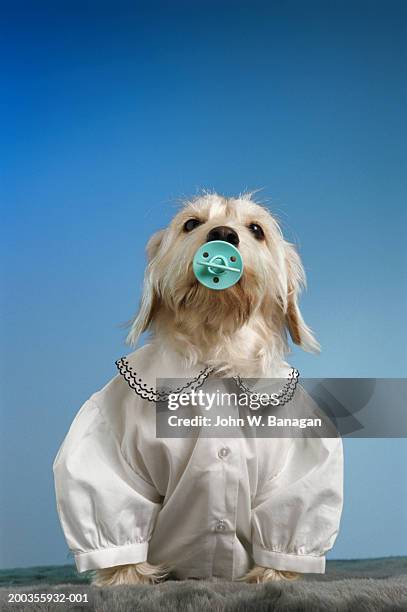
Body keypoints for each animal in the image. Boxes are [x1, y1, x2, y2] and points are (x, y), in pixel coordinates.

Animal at [52, 194, 342, 584]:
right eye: (191, 223)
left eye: (256, 229)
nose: (223, 234)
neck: (217, 358)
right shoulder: (107, 453)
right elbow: (117, 516)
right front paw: (126, 581)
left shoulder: (299, 460)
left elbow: (287, 516)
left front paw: (272, 577)